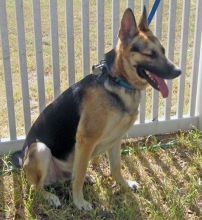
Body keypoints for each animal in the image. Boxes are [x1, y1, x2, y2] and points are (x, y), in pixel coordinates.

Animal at [15, 7, 181, 210]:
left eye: (163, 51)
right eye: (150, 54)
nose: (178, 71)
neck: (119, 81)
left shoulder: (117, 138)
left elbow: (116, 168)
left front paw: (125, 185)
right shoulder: (86, 140)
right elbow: (78, 177)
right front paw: (79, 202)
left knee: (70, 176)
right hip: (40, 149)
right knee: (37, 187)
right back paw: (50, 197)